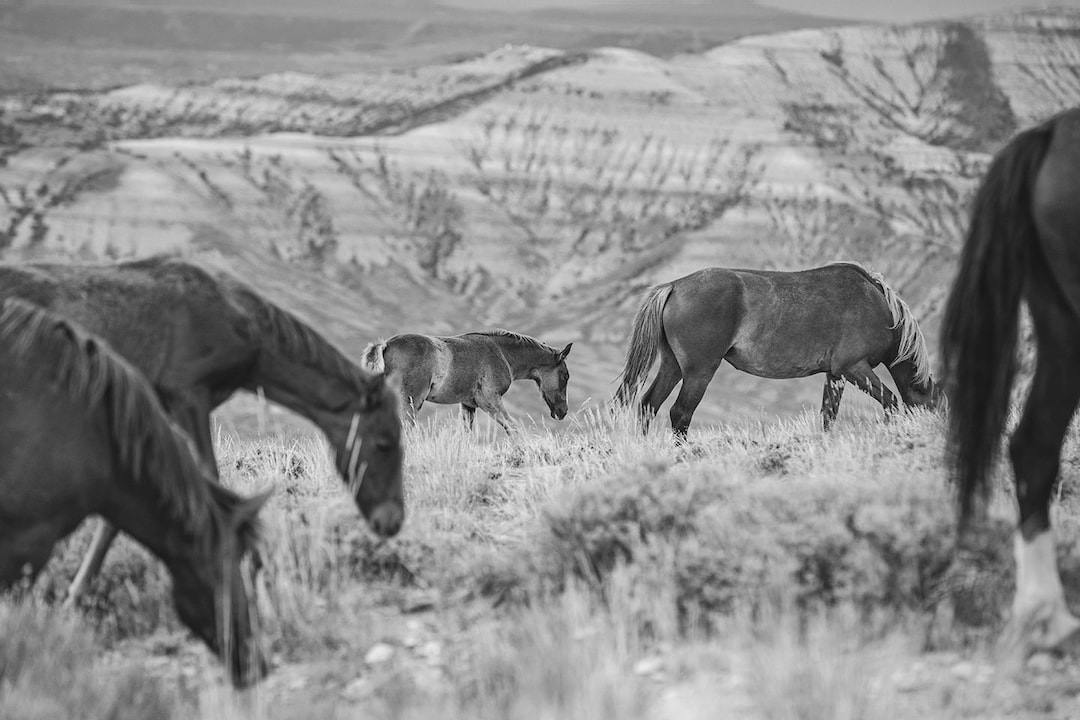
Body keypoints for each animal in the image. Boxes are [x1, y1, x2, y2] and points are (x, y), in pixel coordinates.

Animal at [0, 255, 403, 605]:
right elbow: (206, 478)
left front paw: (77, 591)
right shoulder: (188, 396)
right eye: (384, 443)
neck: (243, 322)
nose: (392, 521)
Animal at [361, 329, 572, 433]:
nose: (562, 411)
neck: (501, 353)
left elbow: (466, 435)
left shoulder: (468, 404)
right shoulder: (489, 400)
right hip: (411, 400)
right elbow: (512, 427)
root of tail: (386, 345)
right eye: (565, 376)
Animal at [614, 262, 940, 437]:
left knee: (649, 405)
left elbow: (828, 417)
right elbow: (893, 404)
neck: (878, 308)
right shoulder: (855, 369)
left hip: (672, 365)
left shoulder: (835, 375)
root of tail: (674, 286)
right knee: (680, 413)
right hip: (699, 372)